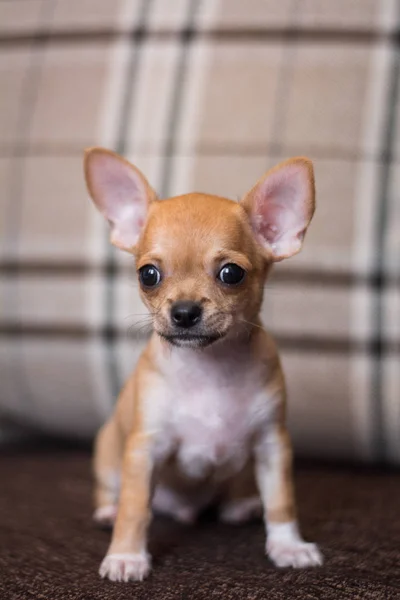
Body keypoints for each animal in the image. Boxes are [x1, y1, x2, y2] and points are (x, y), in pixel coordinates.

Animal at [83, 149, 322, 580]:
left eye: (231, 273)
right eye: (148, 275)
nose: (183, 312)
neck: (209, 367)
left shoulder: (272, 445)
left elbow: (282, 502)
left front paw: (288, 547)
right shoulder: (145, 450)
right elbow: (135, 509)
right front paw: (126, 556)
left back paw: (240, 505)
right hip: (109, 452)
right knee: (111, 491)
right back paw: (107, 511)